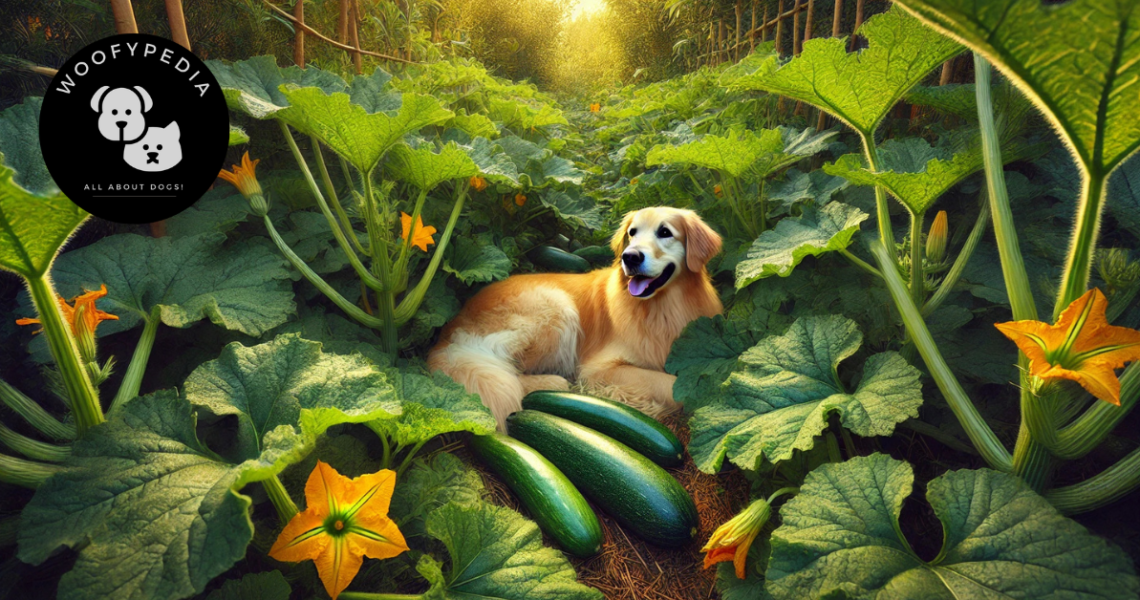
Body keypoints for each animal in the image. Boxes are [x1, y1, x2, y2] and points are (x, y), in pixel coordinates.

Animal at [428, 209, 720, 431]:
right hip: (556, 305)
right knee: (511, 374)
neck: (660, 307)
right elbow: (671, 385)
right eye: (632, 233)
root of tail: (449, 330)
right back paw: (555, 383)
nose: (630, 257)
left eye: (665, 232)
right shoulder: (598, 369)